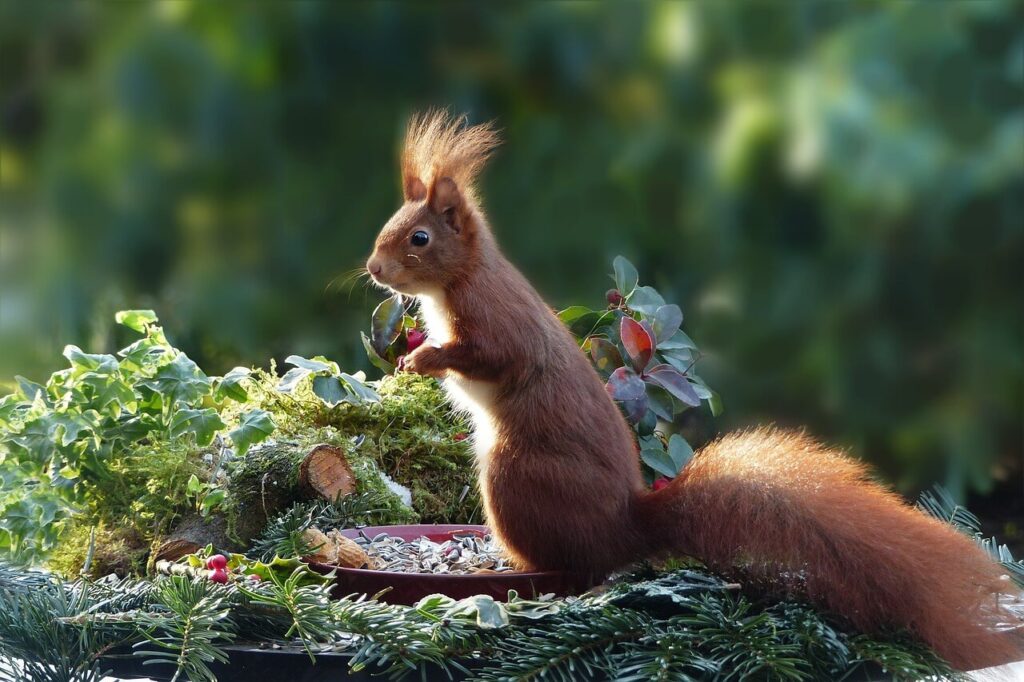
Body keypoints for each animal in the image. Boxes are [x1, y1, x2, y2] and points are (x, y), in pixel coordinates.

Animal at [364, 109, 1019, 667]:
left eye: (419, 239)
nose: (372, 269)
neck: (461, 280)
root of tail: (625, 524)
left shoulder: (499, 322)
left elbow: (496, 357)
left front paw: (426, 358)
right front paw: (411, 363)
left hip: (514, 475)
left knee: (575, 569)